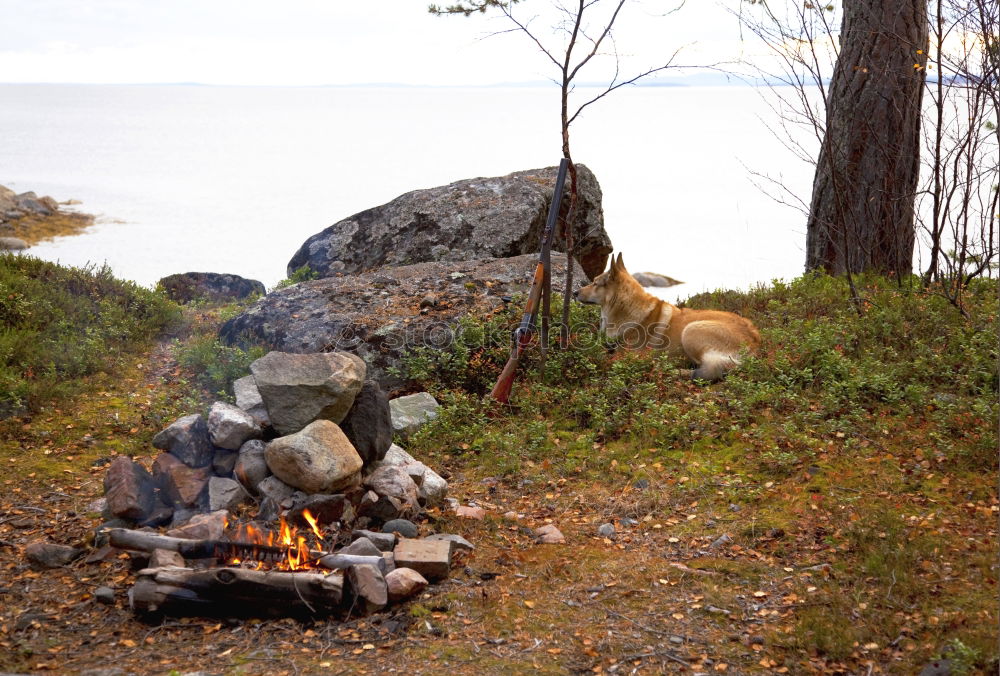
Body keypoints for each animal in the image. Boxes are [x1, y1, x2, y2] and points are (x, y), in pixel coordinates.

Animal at [576, 254, 760, 380]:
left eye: (595, 283)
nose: (575, 292)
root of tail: (754, 340)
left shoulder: (629, 356)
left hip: (691, 331)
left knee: (712, 370)